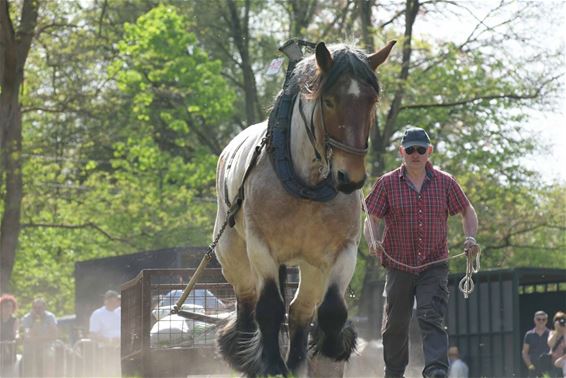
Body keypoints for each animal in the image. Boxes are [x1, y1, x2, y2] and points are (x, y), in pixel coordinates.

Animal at [213, 39, 394, 376]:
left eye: (371, 100)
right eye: (329, 101)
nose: (350, 177)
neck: (306, 185)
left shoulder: (343, 250)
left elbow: (331, 311)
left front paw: (334, 345)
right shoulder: (261, 247)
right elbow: (269, 308)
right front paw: (271, 364)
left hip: (310, 265)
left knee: (300, 311)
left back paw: (297, 362)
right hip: (232, 254)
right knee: (247, 302)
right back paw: (243, 353)